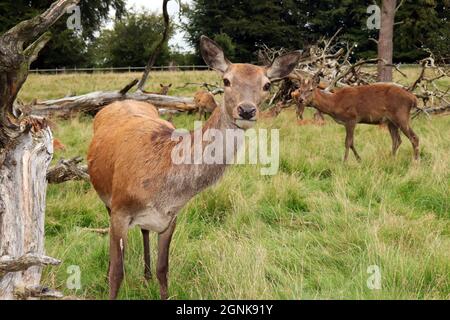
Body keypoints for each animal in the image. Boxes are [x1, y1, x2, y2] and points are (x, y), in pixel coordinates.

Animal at [86, 35, 300, 300]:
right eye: (226, 80)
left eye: (267, 85)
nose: (247, 110)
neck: (164, 191)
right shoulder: (119, 210)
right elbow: (118, 272)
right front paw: (110, 278)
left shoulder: (170, 219)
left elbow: (163, 269)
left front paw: (156, 280)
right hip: (105, 196)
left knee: (145, 233)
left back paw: (145, 275)